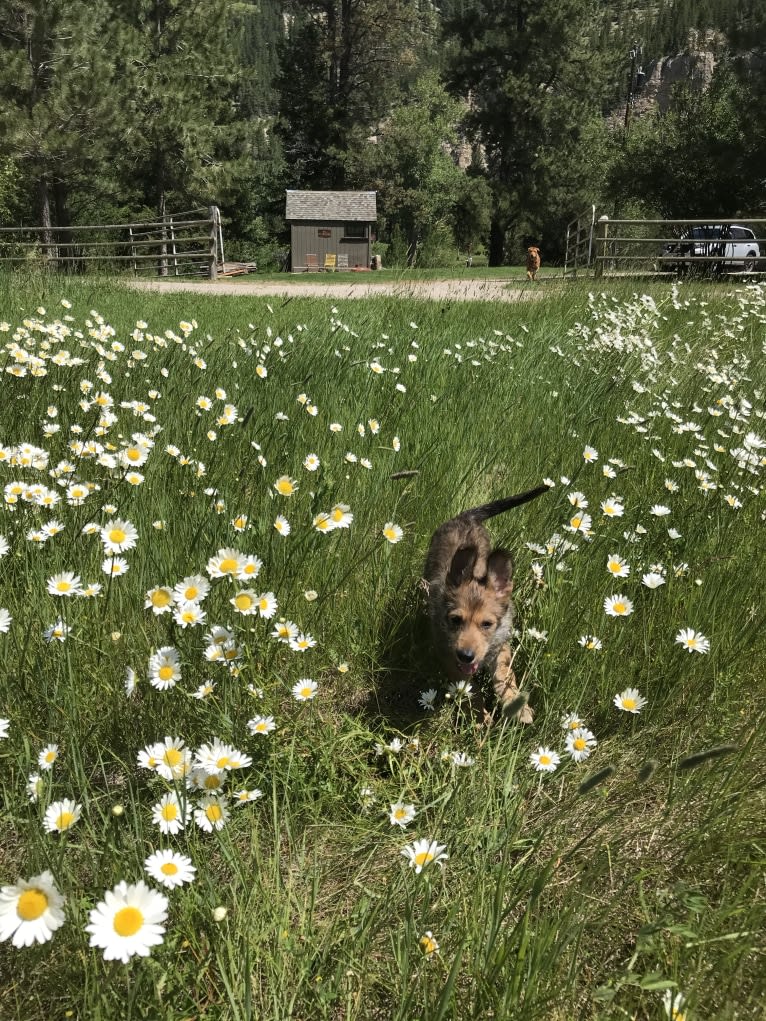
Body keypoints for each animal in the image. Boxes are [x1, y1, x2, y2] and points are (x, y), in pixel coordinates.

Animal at [422, 483, 547, 718]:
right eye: (455, 620)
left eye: (487, 624)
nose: (466, 656)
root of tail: (465, 517)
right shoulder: (447, 655)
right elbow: (470, 689)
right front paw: (480, 717)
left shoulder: (501, 645)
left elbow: (505, 675)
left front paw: (516, 704)